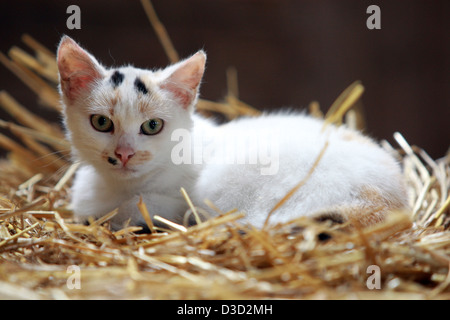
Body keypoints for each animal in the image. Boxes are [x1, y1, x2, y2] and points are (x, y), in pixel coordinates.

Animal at [56, 36, 408, 231]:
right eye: (102, 123)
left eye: (152, 126)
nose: (125, 154)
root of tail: (389, 203)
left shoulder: (180, 201)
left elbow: (130, 210)